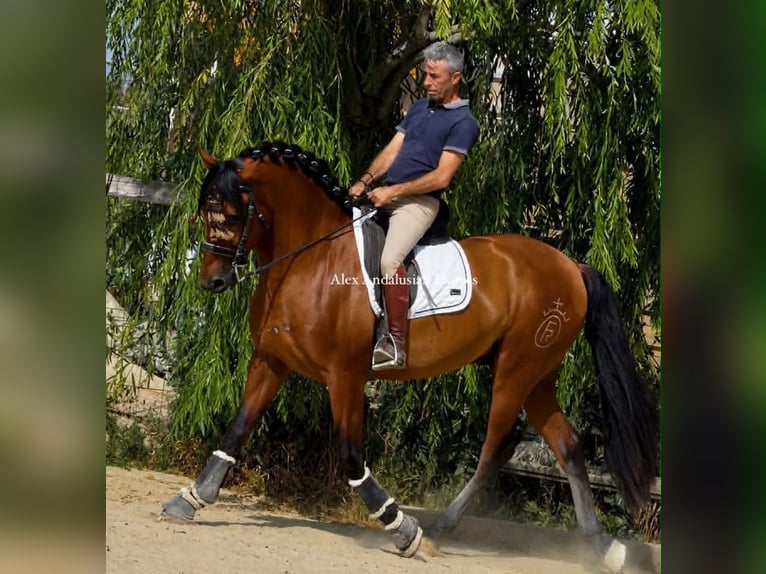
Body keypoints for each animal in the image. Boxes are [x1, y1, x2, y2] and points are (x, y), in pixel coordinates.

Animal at [160, 141, 659, 573]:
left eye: (230, 213)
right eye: (205, 213)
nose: (212, 281)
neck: (311, 260)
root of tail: (571, 265)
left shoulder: (345, 375)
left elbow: (350, 456)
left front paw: (403, 529)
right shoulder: (270, 361)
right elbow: (237, 429)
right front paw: (191, 498)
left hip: (517, 369)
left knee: (494, 449)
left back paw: (438, 530)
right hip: (538, 376)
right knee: (568, 446)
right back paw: (602, 547)